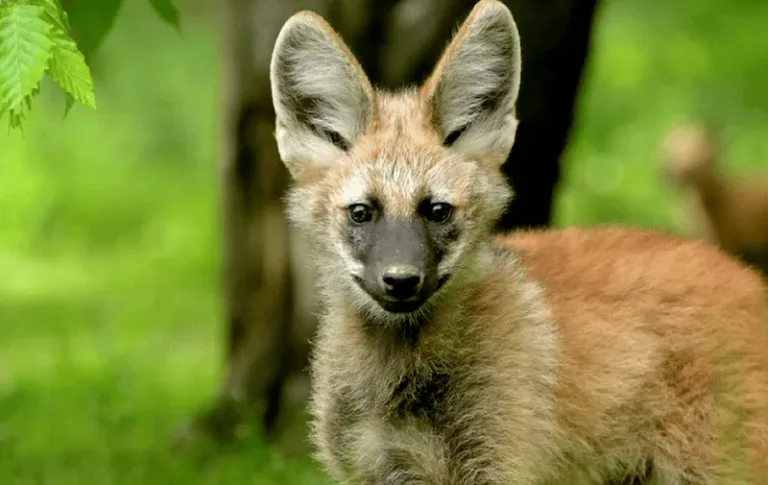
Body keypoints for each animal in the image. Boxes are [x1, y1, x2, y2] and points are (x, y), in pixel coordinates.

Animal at [269, 0, 768, 483]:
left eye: (437, 210)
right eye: (361, 212)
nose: (401, 280)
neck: (397, 384)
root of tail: (747, 278)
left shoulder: (500, 464)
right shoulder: (373, 471)